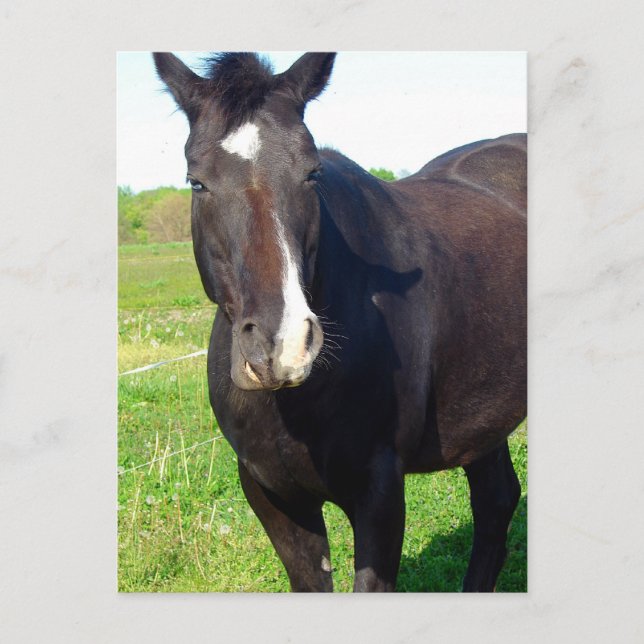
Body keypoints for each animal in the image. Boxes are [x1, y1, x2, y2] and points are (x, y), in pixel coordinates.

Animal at [153, 51, 527, 592]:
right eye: (196, 181)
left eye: (312, 172)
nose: (281, 346)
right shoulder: (272, 493)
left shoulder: (379, 494)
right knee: (496, 500)